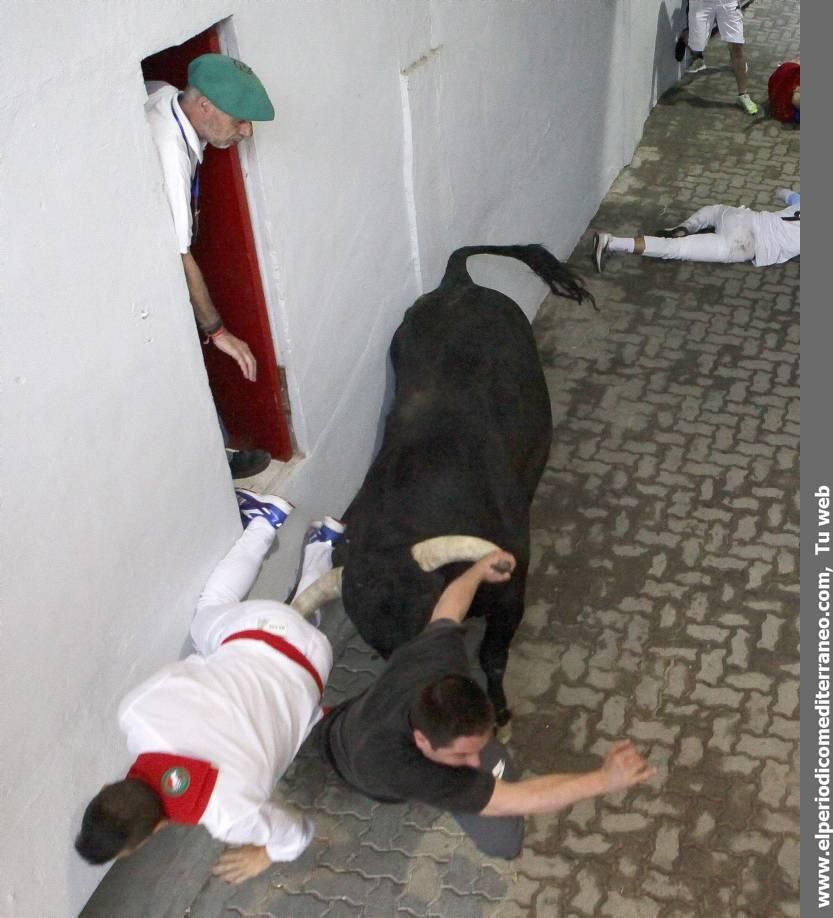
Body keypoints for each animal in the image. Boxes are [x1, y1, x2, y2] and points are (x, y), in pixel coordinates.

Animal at [312, 244, 592, 724]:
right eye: (378, 644)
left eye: (427, 617)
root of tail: (458, 285)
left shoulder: (510, 593)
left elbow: (493, 656)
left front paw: (499, 710)